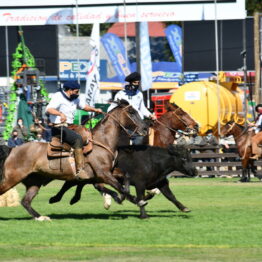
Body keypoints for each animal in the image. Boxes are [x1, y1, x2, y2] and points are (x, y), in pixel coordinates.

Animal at [0, 99, 147, 220]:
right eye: (132, 112)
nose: (145, 129)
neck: (102, 141)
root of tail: (13, 149)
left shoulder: (110, 171)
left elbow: (125, 177)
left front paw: (126, 197)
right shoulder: (103, 174)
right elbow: (118, 187)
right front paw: (135, 200)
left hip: (34, 182)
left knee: (26, 201)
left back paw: (41, 217)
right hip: (12, 178)